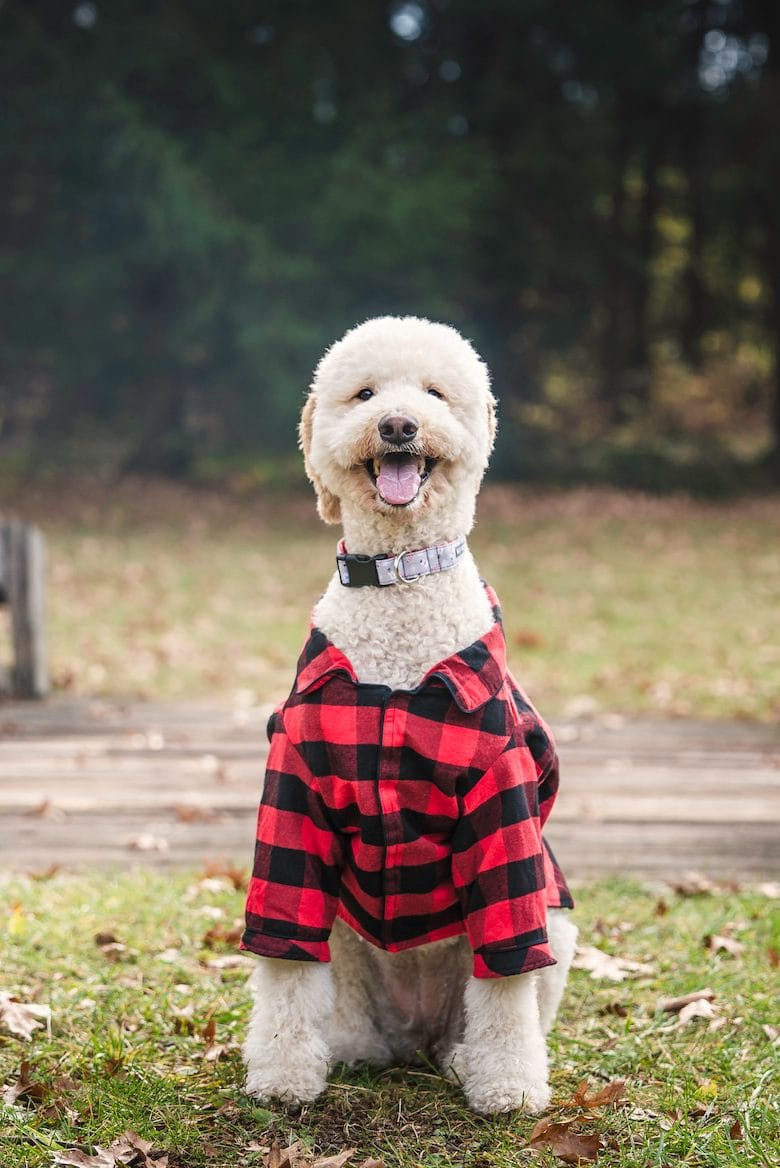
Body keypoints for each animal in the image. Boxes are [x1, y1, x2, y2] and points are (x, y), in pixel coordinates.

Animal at [240, 317, 576, 1111]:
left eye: (435, 393)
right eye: (364, 394)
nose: (398, 425)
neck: (398, 582)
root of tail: (416, 1034)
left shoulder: (501, 807)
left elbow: (506, 973)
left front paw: (509, 1087)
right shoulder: (293, 798)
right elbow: (283, 959)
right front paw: (282, 1076)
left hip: (558, 925)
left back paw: (466, 1060)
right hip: (344, 937)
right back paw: (350, 1048)